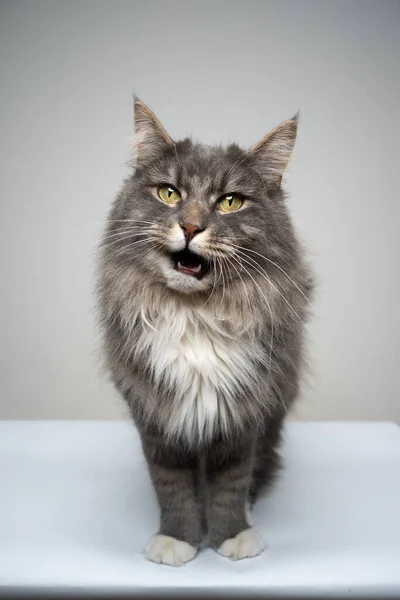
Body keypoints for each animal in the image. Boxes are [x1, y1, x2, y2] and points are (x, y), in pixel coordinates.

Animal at [96, 98, 312, 568]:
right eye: (169, 194)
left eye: (230, 202)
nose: (191, 227)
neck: (195, 315)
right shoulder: (156, 412)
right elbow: (172, 485)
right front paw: (176, 540)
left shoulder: (244, 413)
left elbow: (232, 482)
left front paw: (233, 535)